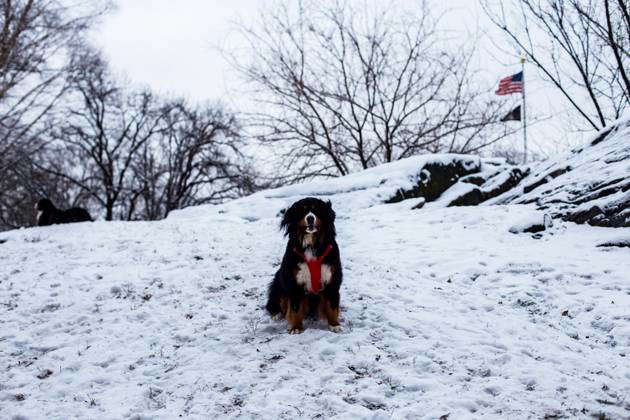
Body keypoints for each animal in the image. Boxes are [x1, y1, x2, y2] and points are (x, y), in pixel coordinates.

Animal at [268, 197, 346, 334]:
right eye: (303, 211)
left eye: (316, 210)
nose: (310, 218)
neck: (311, 245)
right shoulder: (293, 282)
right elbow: (295, 308)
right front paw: (296, 327)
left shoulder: (332, 279)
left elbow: (332, 306)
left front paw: (334, 325)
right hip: (278, 283)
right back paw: (276, 314)